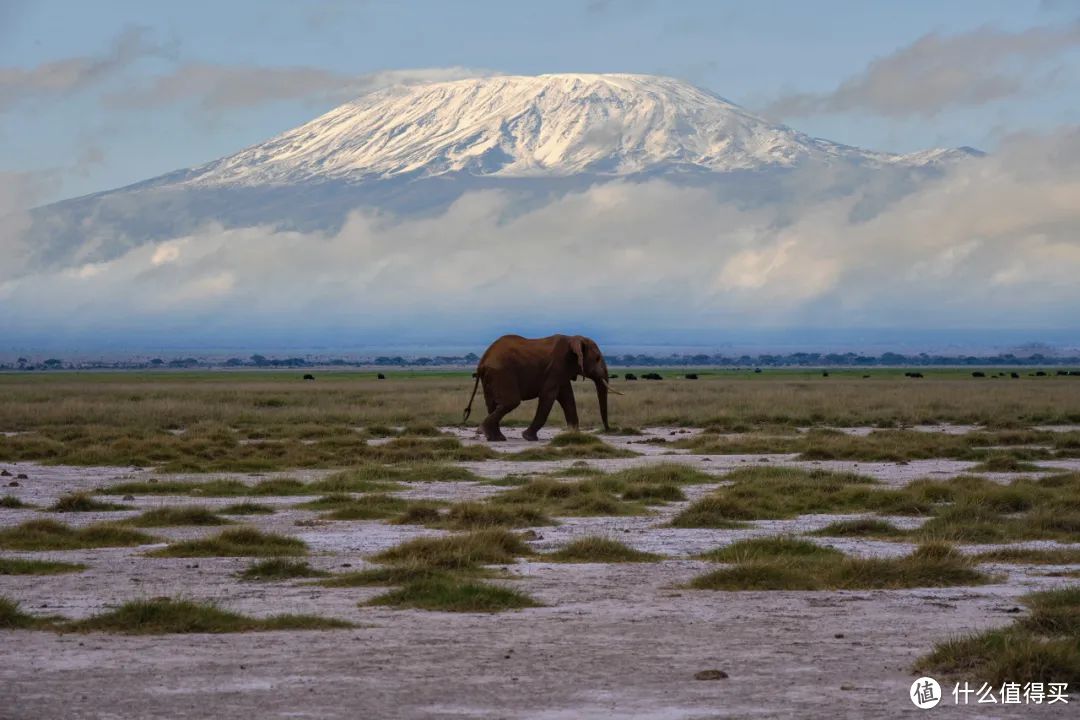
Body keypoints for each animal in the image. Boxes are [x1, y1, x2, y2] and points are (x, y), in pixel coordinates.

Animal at [462, 334, 617, 442]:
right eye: (597, 358)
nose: (609, 430)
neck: (573, 338)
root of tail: (482, 361)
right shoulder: (556, 368)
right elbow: (549, 396)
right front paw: (528, 437)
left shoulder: (562, 372)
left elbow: (567, 398)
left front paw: (574, 435)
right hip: (502, 374)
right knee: (510, 402)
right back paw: (484, 431)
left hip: (491, 377)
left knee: (493, 404)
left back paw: (495, 438)